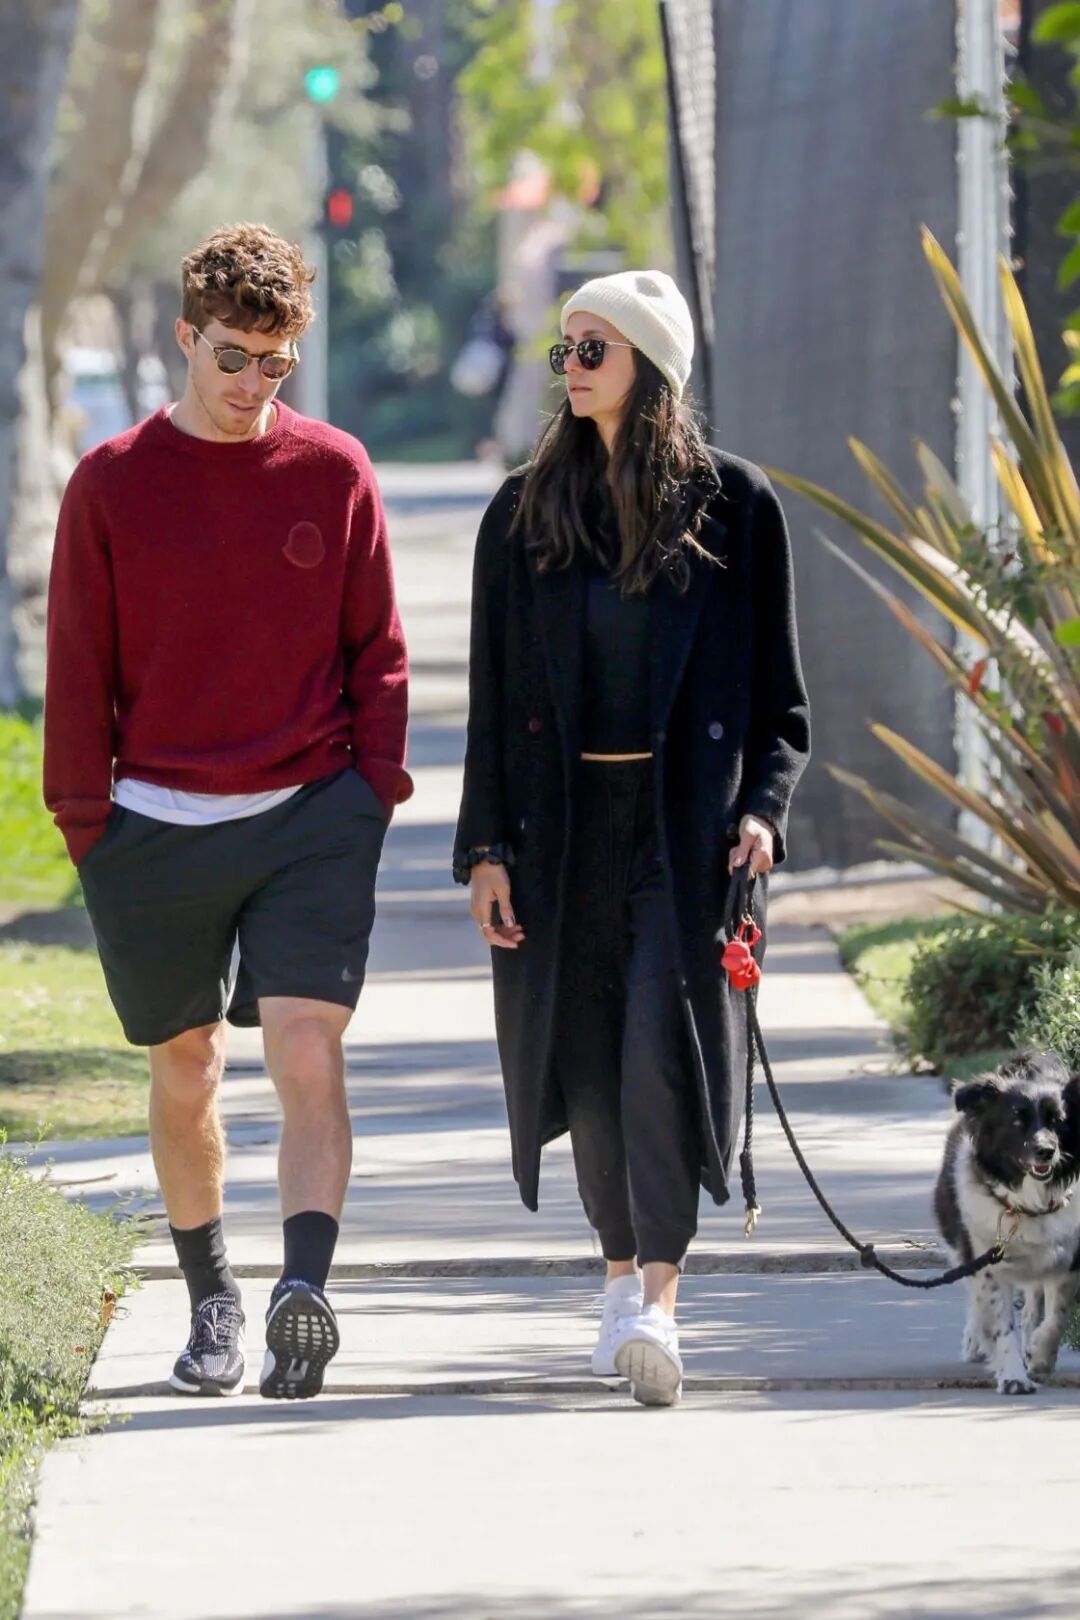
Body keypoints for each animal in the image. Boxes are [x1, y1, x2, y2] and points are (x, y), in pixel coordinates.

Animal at [934, 1050, 1080, 1395]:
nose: (1046, 1151)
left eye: (1058, 1120)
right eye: (1016, 1120)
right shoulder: (987, 1264)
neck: (1028, 1205)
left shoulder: (1067, 1259)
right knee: (975, 1302)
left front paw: (1039, 1355)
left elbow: (1056, 1316)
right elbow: (1000, 1326)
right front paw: (1014, 1376)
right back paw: (975, 1342)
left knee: (1032, 1305)